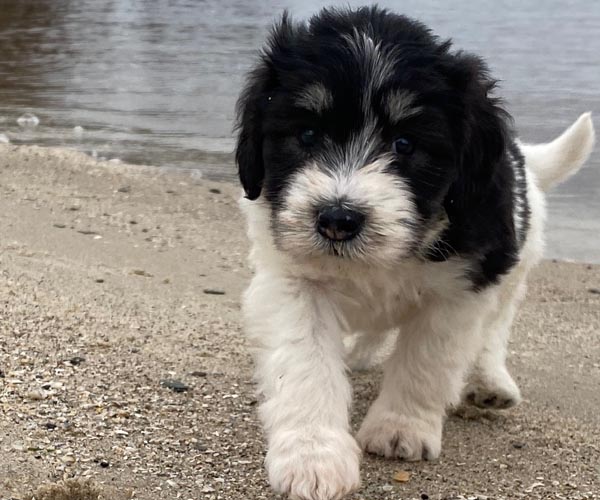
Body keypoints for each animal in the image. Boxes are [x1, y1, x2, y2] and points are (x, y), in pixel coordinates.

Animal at [234, 6, 595, 500]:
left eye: (405, 144)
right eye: (306, 134)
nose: (337, 219)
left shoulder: (462, 285)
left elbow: (426, 361)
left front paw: (399, 428)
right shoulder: (292, 280)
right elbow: (305, 364)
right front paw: (313, 456)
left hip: (513, 266)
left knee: (493, 329)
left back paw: (488, 381)